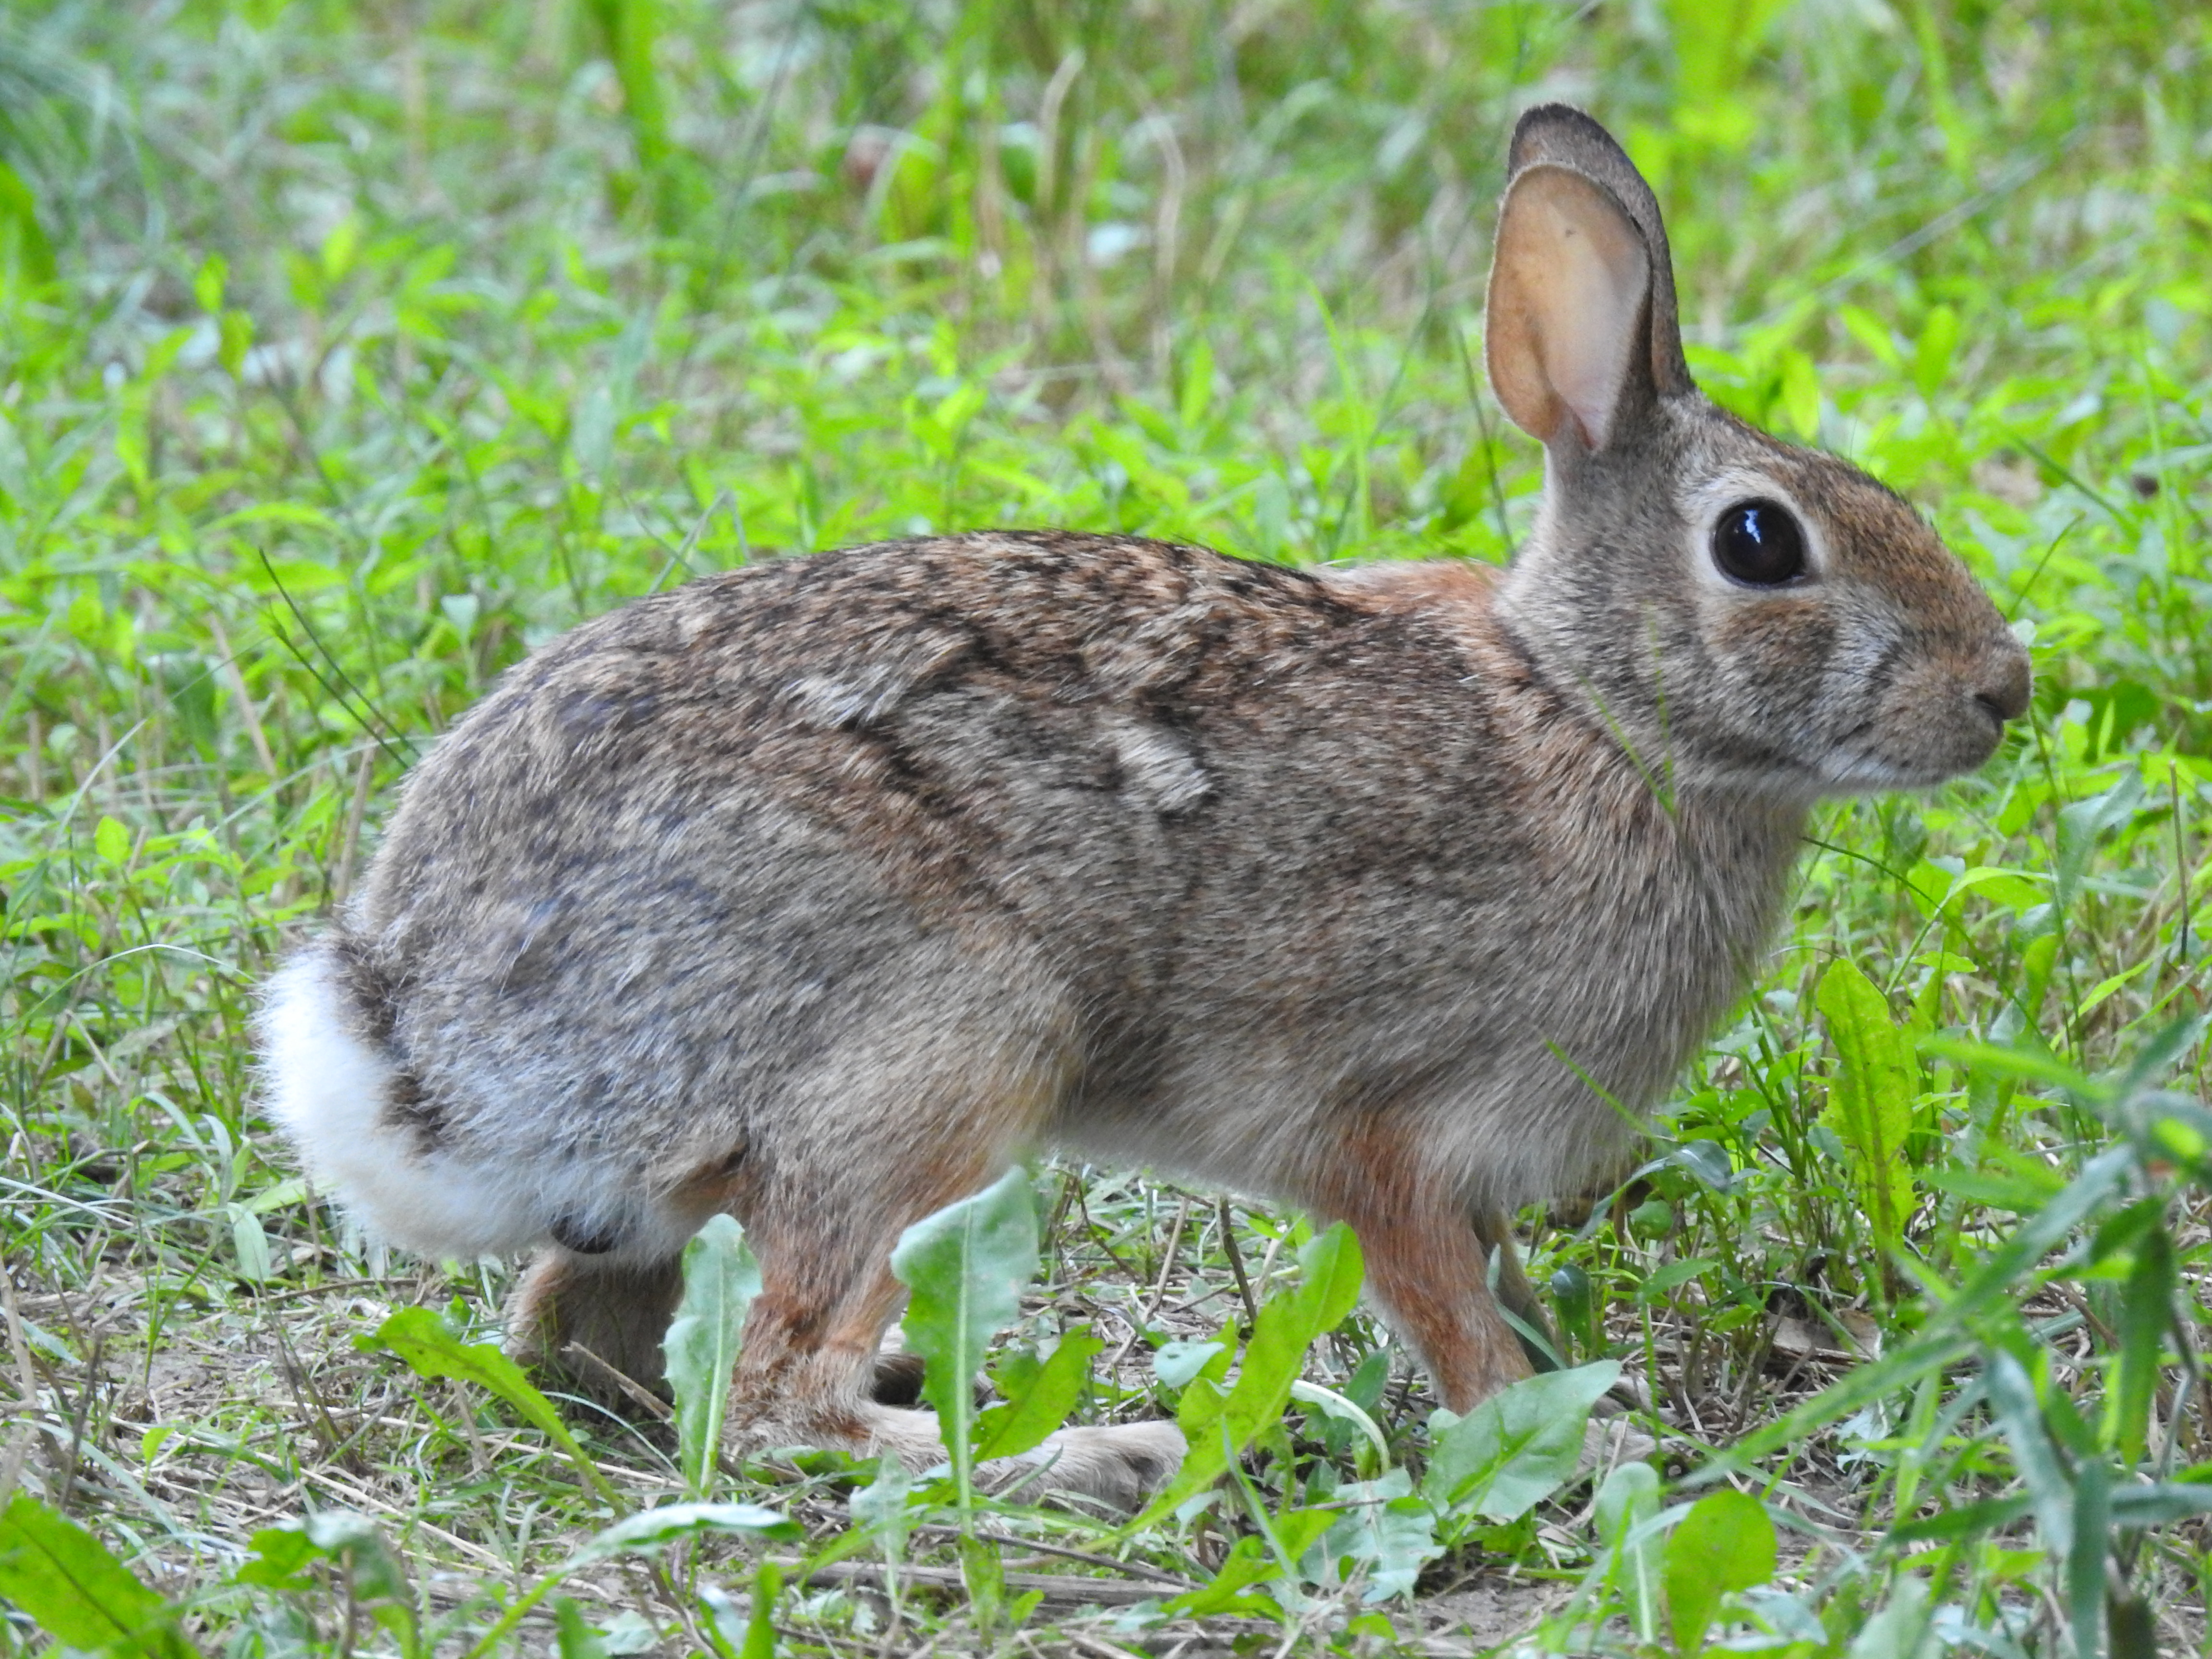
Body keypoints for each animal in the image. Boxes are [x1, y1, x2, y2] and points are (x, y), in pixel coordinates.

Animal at [254, 100, 2026, 1504]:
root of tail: (412, 1031)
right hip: (945, 1045)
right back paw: (1094, 1452)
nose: (2001, 690)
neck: (1591, 710)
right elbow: (1456, 1320)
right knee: (766, 1400)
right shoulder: (1388, 1134)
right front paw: (1569, 1448)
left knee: (600, 1342)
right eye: (1759, 544)